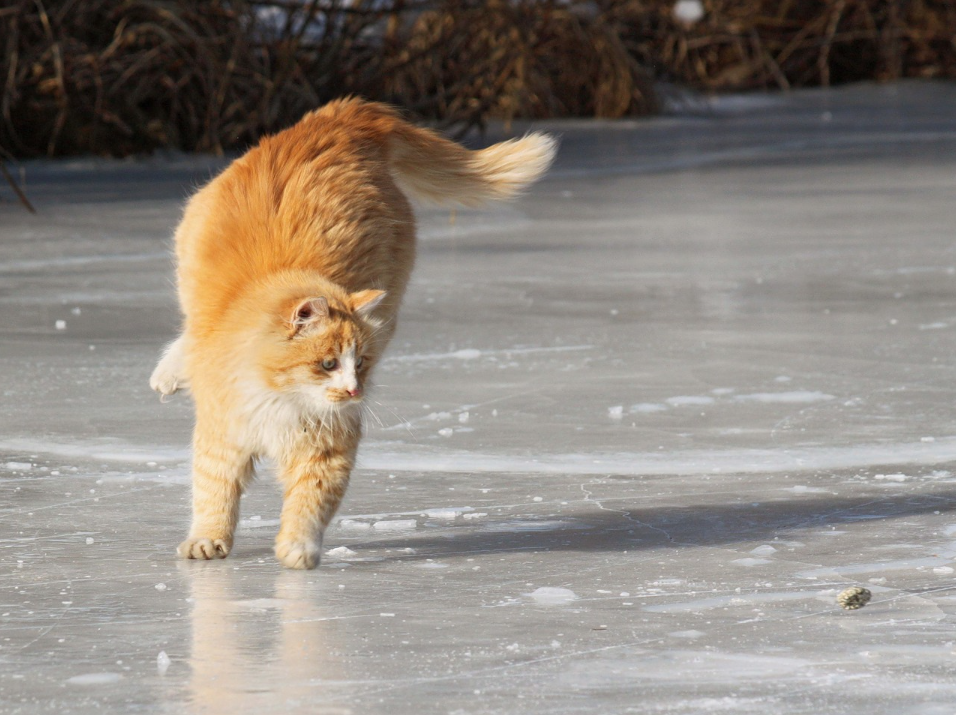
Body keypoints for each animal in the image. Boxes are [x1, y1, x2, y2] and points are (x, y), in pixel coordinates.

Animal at [148, 99, 552, 572]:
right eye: (327, 363)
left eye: (360, 363)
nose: (354, 391)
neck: (282, 399)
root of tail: (340, 115)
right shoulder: (223, 435)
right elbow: (213, 494)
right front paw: (208, 540)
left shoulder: (327, 448)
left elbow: (310, 502)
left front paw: (298, 548)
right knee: (188, 331)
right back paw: (170, 373)